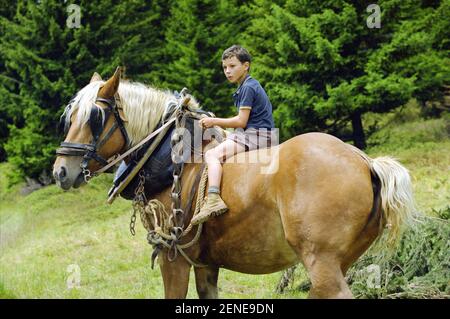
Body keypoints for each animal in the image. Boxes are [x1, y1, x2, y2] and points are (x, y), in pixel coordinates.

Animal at [54, 68, 416, 300]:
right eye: (69, 118)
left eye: (95, 118)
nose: (60, 171)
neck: (175, 162)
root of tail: (365, 161)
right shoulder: (205, 264)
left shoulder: (174, 257)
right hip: (339, 262)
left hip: (322, 262)